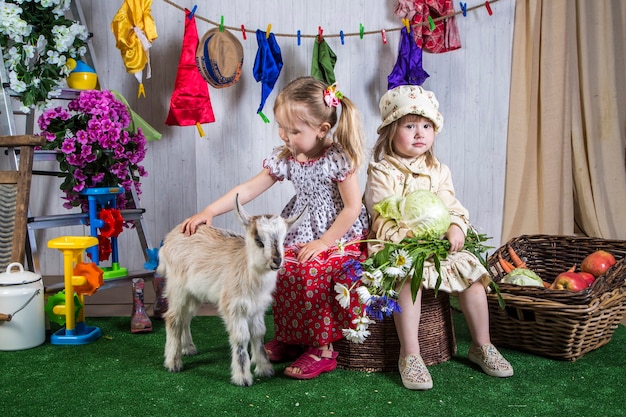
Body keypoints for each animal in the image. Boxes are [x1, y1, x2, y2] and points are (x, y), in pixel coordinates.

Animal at [156, 197, 302, 386]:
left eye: (284, 240)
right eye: (259, 240)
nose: (277, 261)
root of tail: (169, 238)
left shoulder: (257, 308)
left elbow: (258, 334)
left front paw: (265, 369)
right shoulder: (234, 306)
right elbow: (241, 337)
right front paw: (243, 378)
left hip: (194, 293)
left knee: (185, 317)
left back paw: (188, 348)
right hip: (177, 287)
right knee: (173, 318)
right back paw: (173, 362)